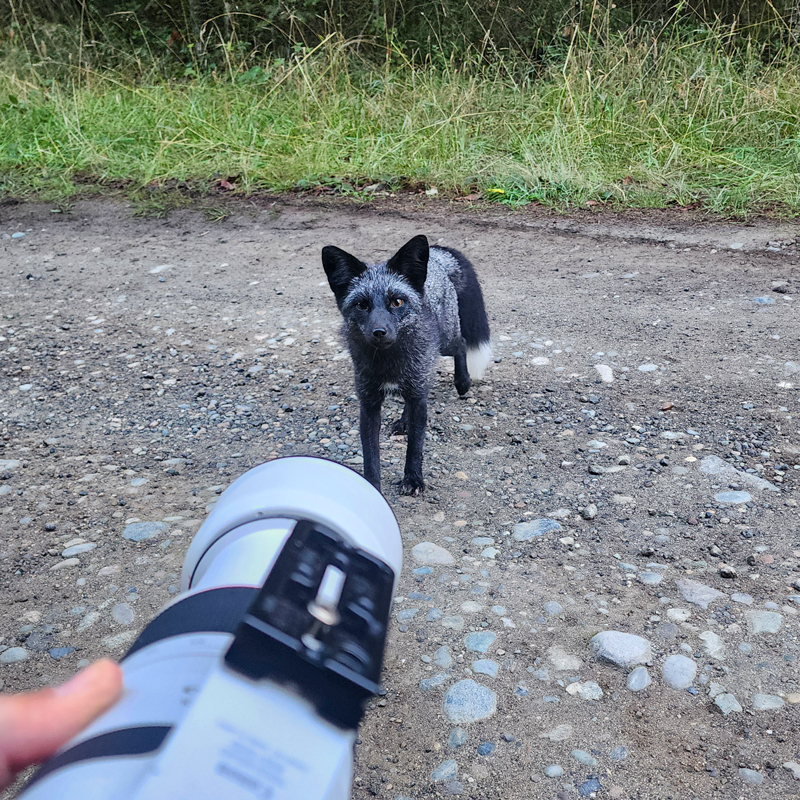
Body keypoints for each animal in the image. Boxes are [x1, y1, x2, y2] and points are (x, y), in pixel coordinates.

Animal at [322, 234, 490, 494]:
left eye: (397, 302)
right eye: (361, 305)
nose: (379, 332)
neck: (388, 363)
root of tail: (437, 257)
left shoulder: (418, 396)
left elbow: (416, 445)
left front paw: (413, 479)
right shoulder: (368, 403)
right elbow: (371, 455)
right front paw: (372, 488)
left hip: (443, 342)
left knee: (461, 343)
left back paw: (463, 382)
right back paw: (403, 420)